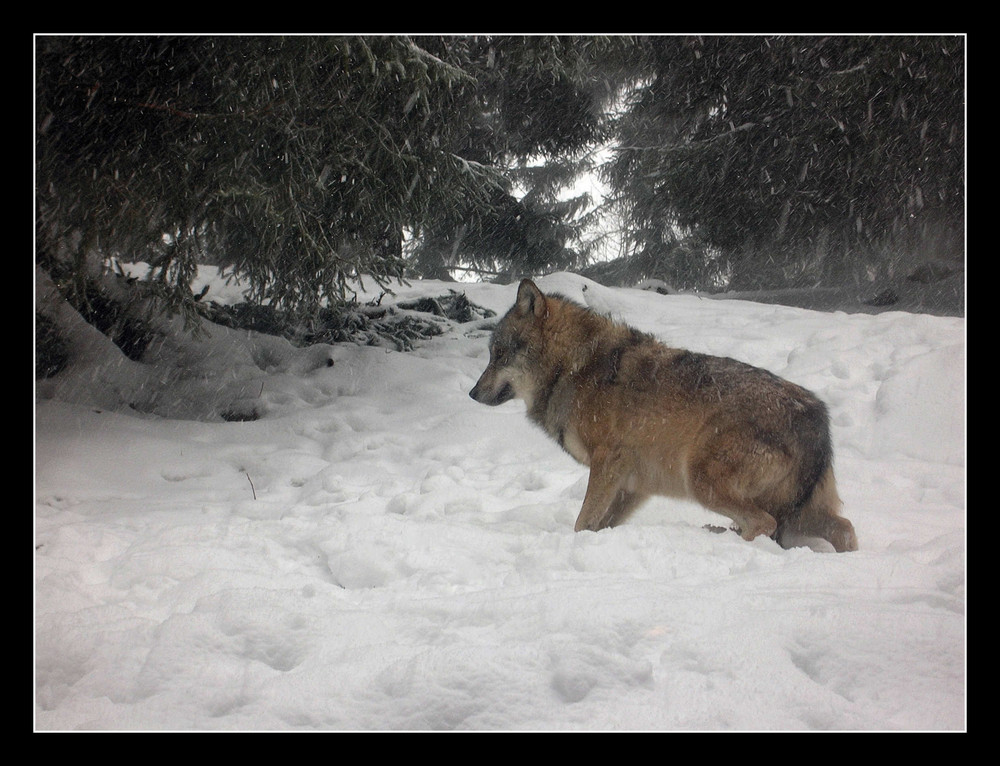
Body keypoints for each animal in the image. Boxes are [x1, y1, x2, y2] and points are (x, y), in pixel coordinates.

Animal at [470, 280, 860, 552]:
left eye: (499, 355)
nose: (472, 393)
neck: (573, 369)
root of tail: (816, 415)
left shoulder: (608, 462)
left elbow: (582, 523)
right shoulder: (634, 485)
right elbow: (600, 524)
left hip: (702, 480)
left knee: (763, 523)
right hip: (798, 509)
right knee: (845, 529)